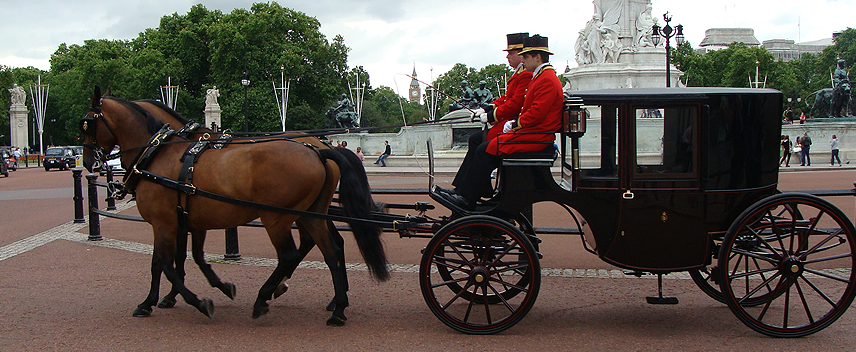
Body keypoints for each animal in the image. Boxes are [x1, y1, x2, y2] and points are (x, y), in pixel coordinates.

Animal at [80, 87, 388, 324]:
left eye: (87, 124)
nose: (88, 162)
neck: (158, 152)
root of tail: (319, 149)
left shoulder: (163, 223)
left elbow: (165, 263)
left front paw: (191, 301)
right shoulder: (187, 221)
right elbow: (185, 259)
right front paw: (169, 297)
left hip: (276, 218)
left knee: (290, 254)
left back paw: (266, 297)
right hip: (310, 214)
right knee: (331, 249)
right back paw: (337, 307)